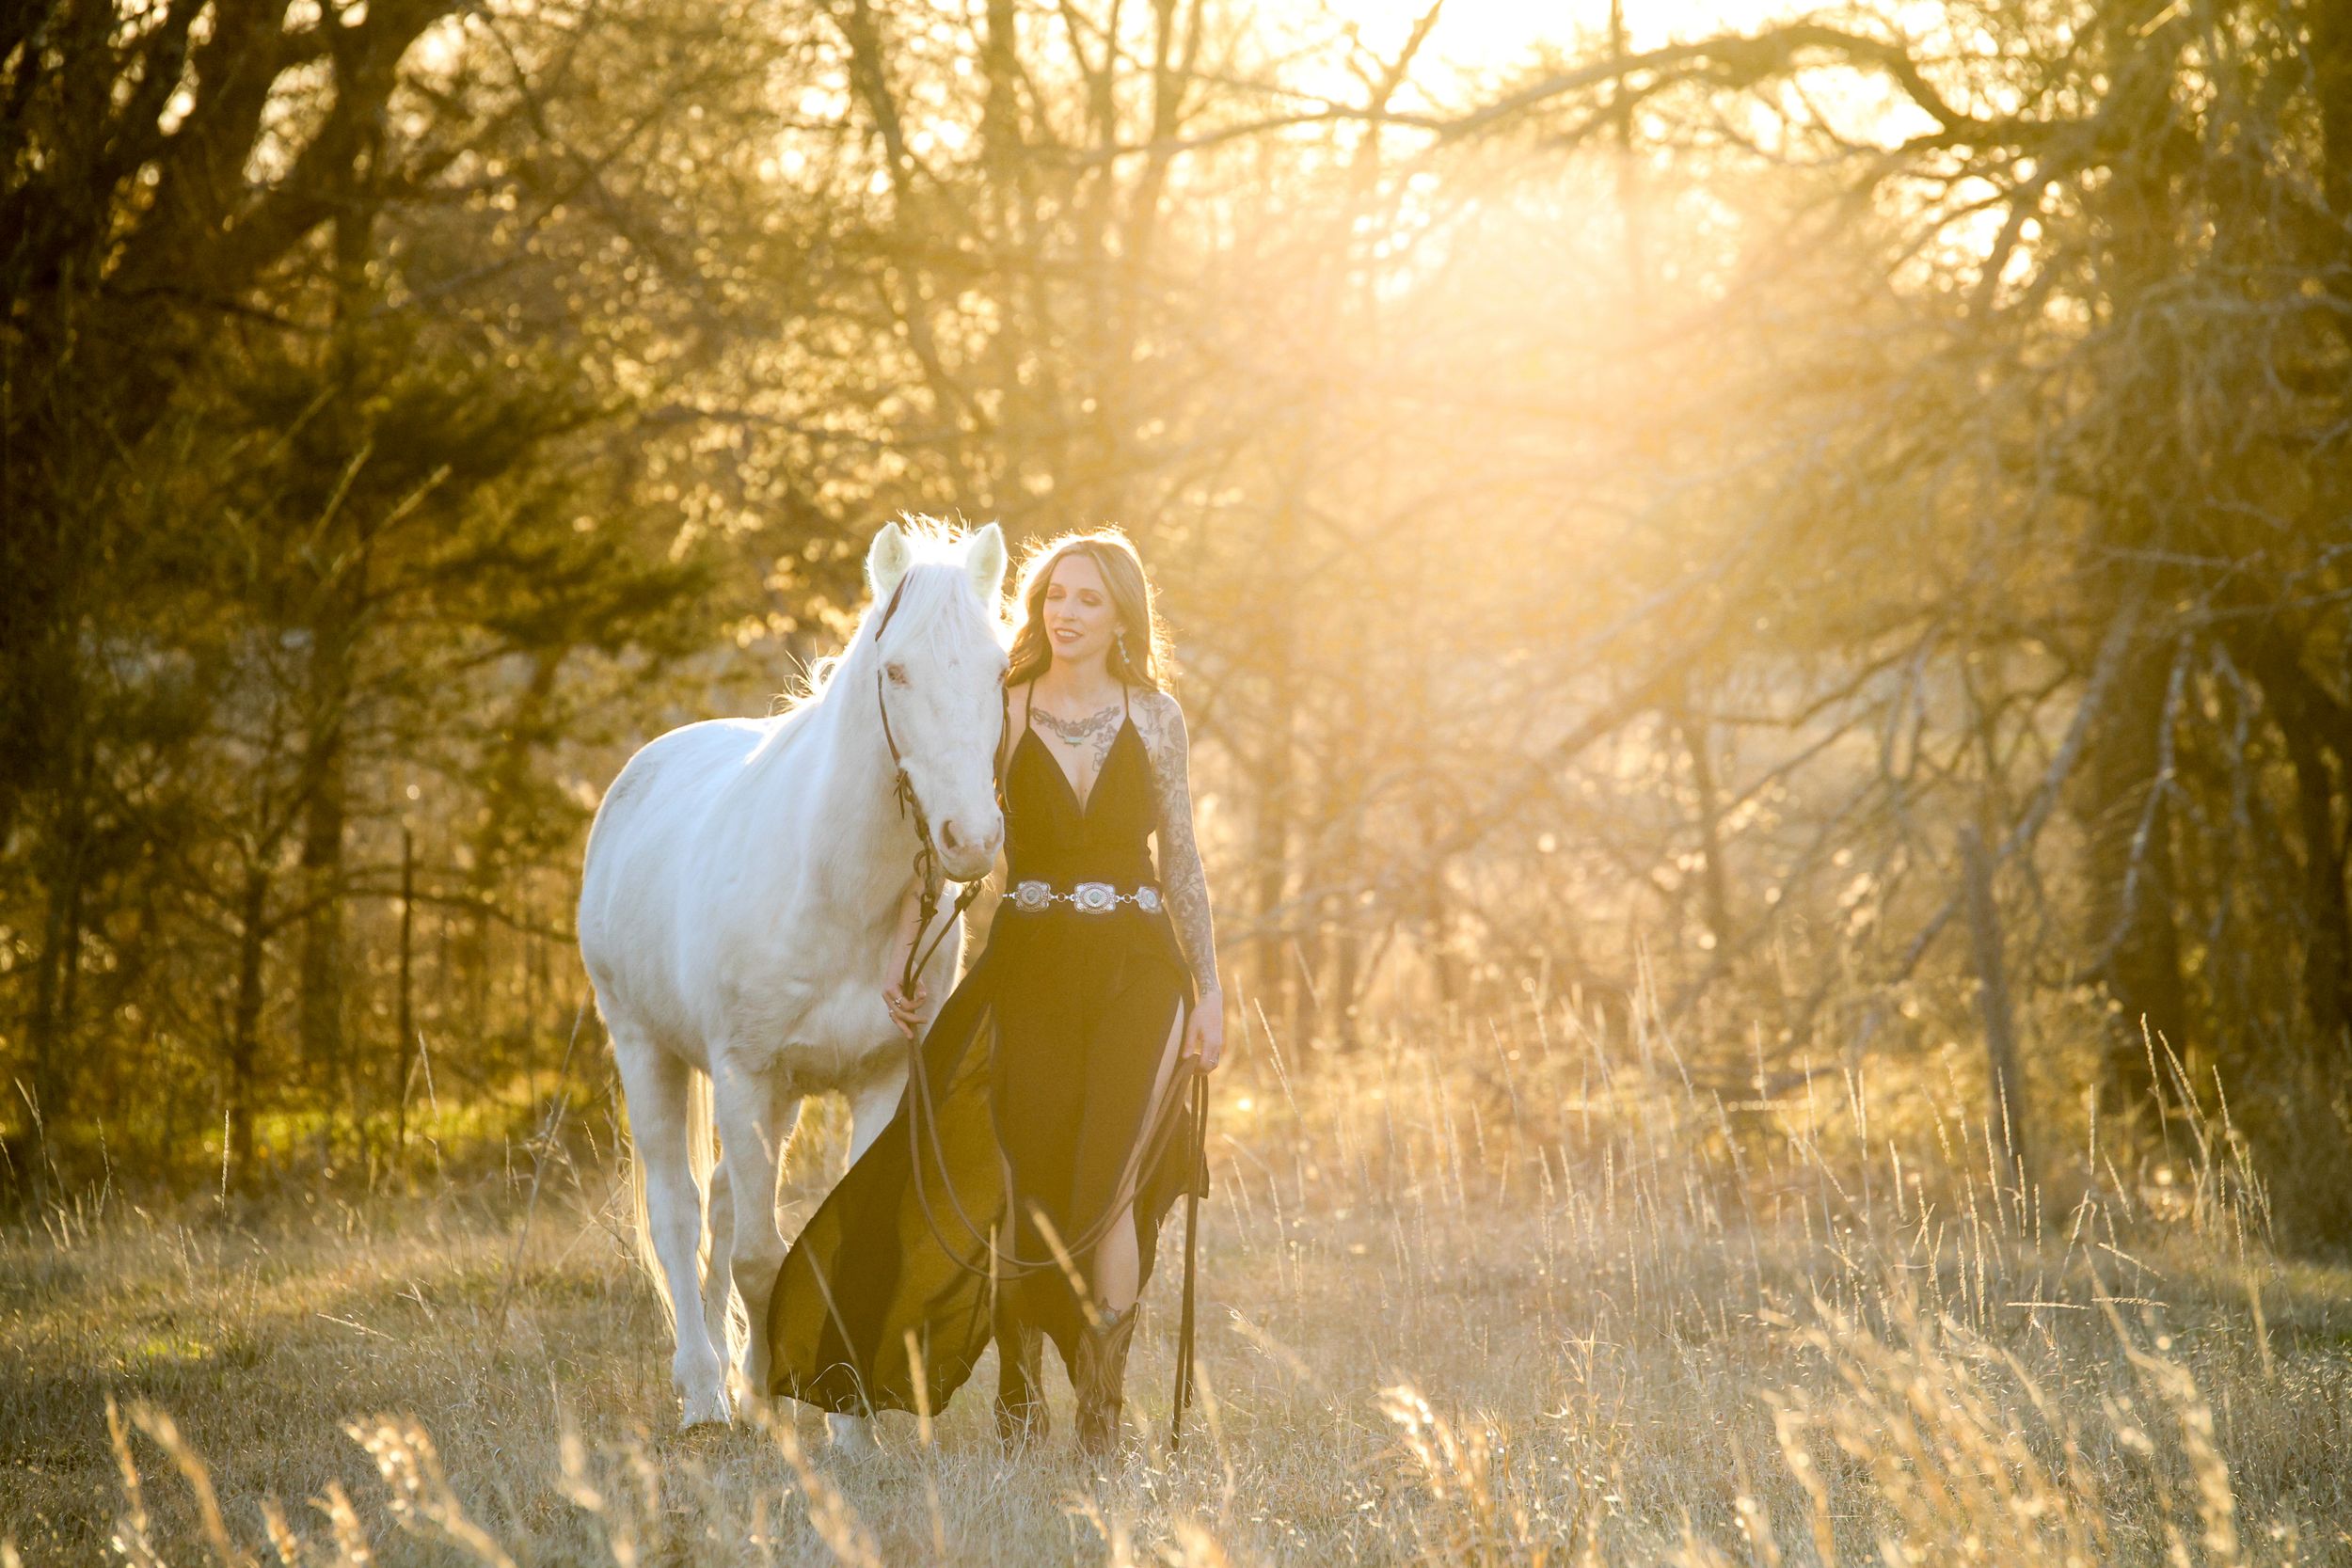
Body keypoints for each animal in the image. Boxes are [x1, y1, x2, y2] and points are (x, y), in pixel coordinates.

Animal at [578, 518, 1009, 1436]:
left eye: (1000, 670)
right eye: (897, 671)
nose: (971, 838)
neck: (832, 886)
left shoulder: (880, 1079)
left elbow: (851, 1247)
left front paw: (847, 1423)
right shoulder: (744, 1073)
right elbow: (755, 1256)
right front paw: (772, 1407)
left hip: (776, 1100)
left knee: (721, 1201)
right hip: (648, 1049)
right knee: (682, 1216)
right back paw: (706, 1394)